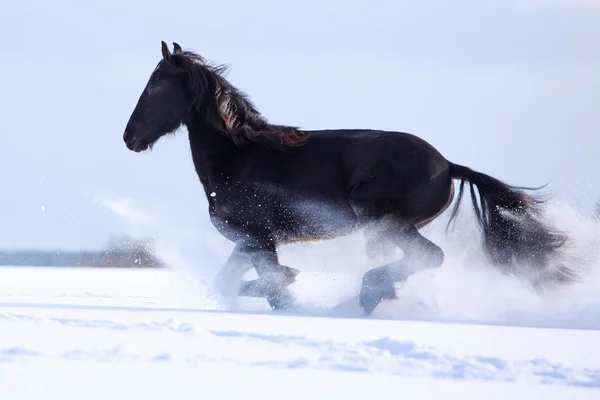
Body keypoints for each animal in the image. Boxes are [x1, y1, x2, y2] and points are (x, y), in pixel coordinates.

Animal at [123, 41, 580, 316]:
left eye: (154, 86)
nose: (130, 137)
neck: (239, 156)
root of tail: (448, 165)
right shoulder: (250, 240)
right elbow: (231, 283)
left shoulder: (259, 238)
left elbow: (273, 286)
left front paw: (291, 288)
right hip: (382, 230)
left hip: (384, 222)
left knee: (428, 257)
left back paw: (365, 294)